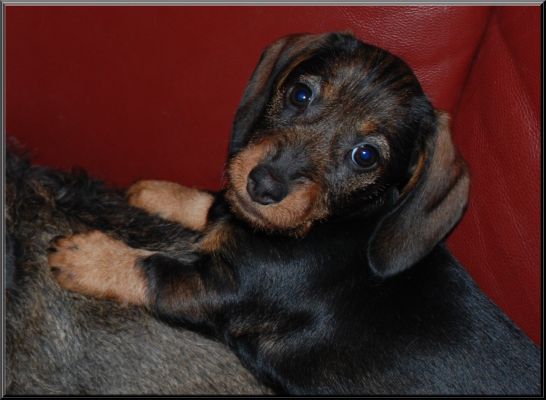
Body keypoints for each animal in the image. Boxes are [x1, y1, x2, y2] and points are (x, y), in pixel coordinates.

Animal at [48, 32, 541, 395]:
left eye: (366, 156)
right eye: (301, 94)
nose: (263, 186)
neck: (343, 223)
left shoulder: (219, 289)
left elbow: (154, 270)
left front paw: (90, 258)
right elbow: (213, 205)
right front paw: (157, 192)